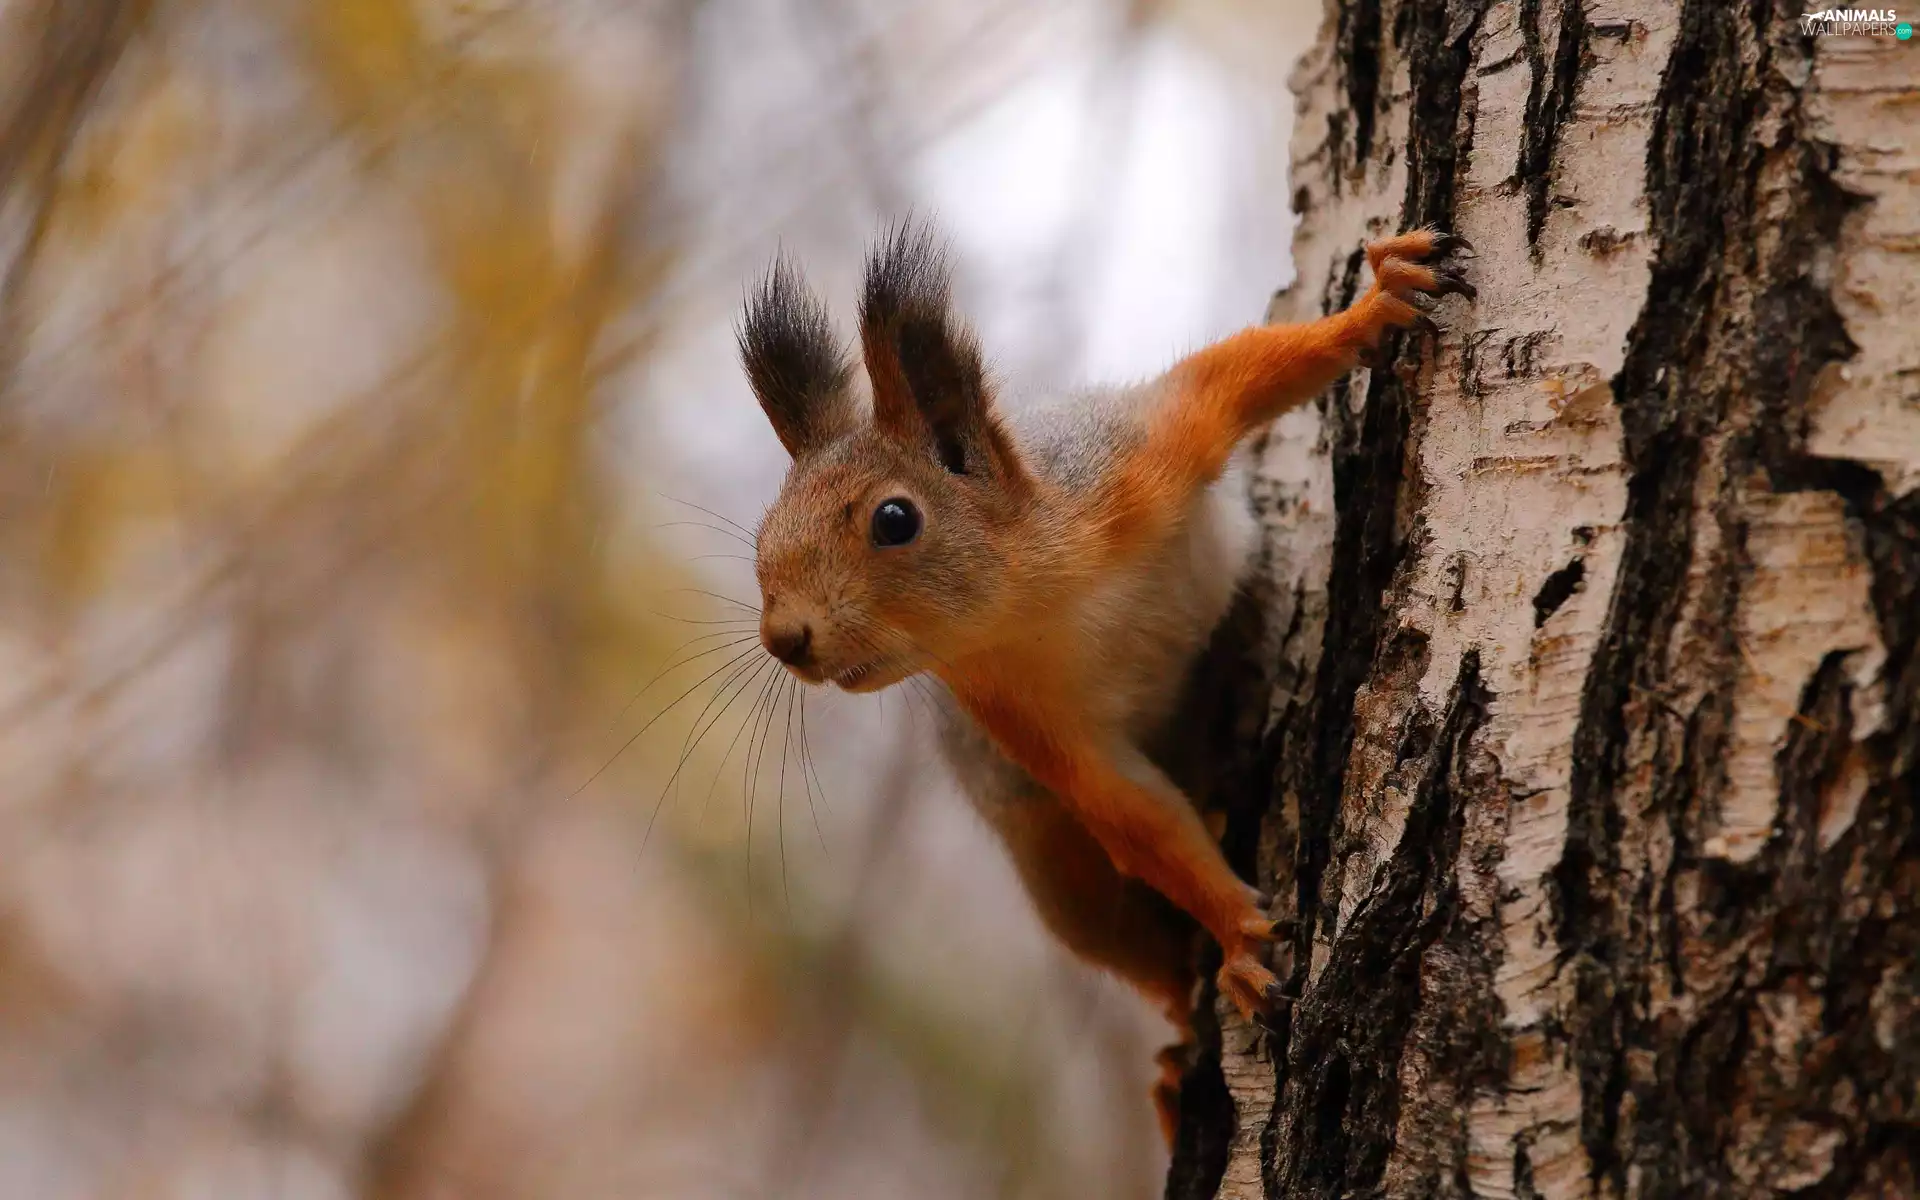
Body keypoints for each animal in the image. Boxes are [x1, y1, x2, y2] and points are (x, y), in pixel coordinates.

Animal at [737, 221, 1473, 1141]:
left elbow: (1237, 376)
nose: (785, 639)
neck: (1039, 597)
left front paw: (1375, 303)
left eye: (895, 519)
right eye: (764, 535)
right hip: (1066, 882)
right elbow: (1130, 811)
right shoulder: (1018, 708)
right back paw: (1174, 1060)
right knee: (1151, 972)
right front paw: (1239, 941)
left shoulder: (1134, 460)